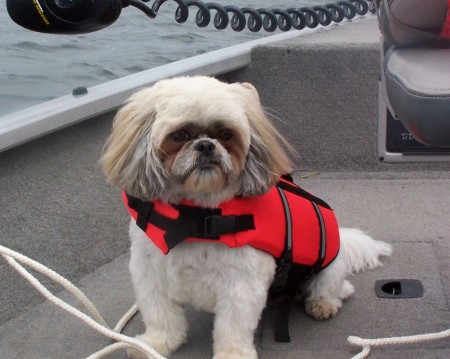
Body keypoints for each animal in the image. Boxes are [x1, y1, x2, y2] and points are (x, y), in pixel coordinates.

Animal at [100, 76, 392, 359]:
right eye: (179, 134)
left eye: (225, 134)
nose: (205, 145)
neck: (196, 215)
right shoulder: (150, 271)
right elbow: (159, 314)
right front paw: (156, 343)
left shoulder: (240, 285)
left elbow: (233, 327)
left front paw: (233, 354)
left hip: (329, 269)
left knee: (338, 290)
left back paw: (322, 303)